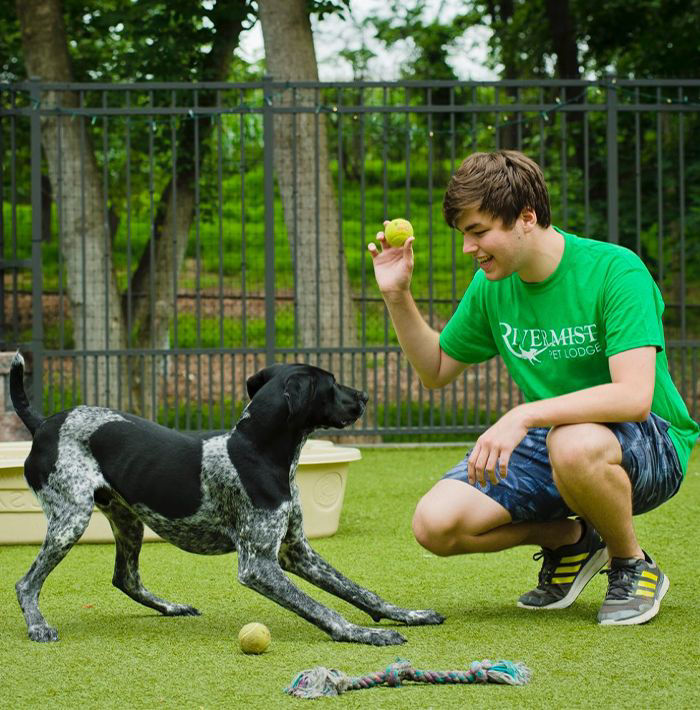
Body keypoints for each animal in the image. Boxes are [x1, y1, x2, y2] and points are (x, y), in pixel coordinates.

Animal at [9, 354, 442, 644]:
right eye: (331, 384)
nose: (365, 396)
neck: (259, 451)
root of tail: (44, 423)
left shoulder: (297, 553)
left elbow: (359, 591)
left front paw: (406, 615)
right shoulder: (258, 566)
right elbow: (324, 608)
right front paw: (361, 633)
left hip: (127, 520)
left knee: (125, 578)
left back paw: (170, 607)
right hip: (70, 521)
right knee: (26, 583)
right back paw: (38, 625)